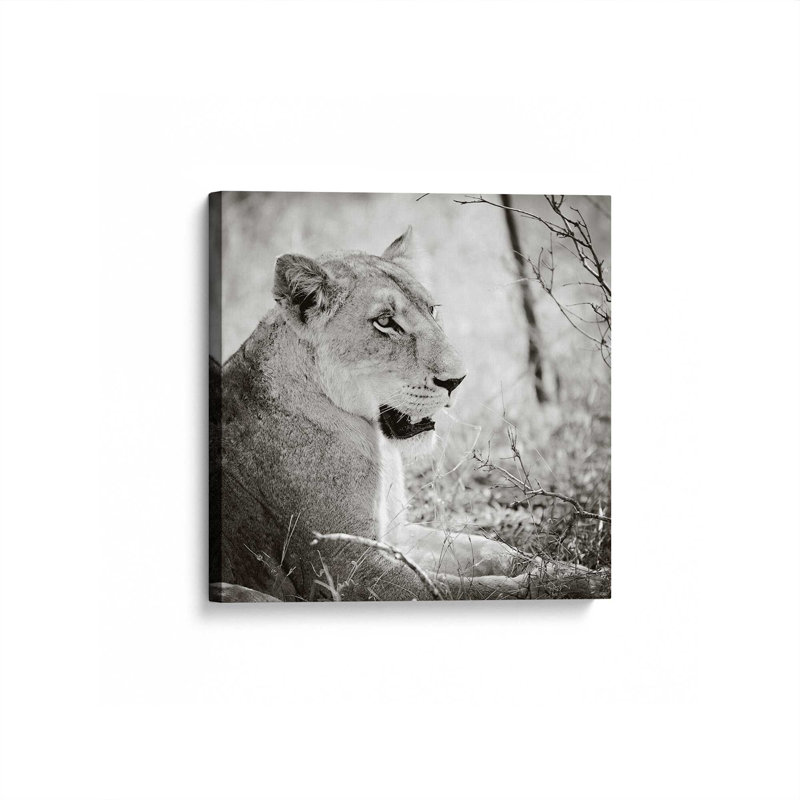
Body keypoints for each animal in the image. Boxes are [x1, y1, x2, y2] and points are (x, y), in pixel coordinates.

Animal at [209, 227, 603, 601]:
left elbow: (488, 548)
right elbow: (465, 590)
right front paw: (577, 586)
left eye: (432, 310)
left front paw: (567, 569)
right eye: (385, 322)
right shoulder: (347, 570)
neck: (377, 445)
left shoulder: (396, 534)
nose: (457, 380)